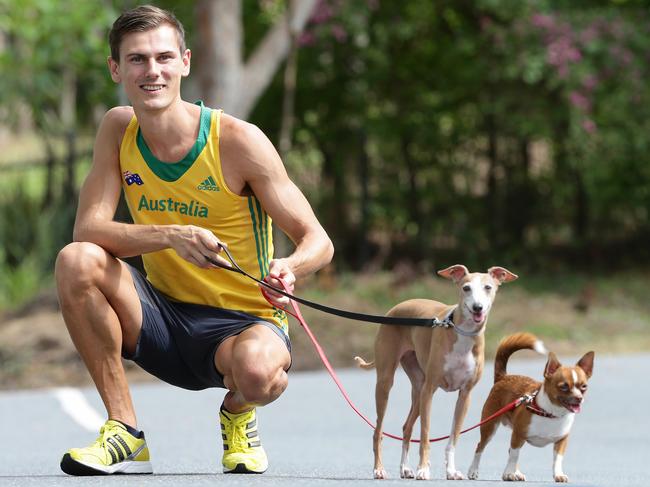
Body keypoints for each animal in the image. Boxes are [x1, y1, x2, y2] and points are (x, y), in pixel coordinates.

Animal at [354, 264, 516, 482]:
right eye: (466, 288)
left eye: (488, 287)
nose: (478, 307)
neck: (462, 334)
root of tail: (394, 309)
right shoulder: (430, 389)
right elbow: (425, 435)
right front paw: (424, 469)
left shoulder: (464, 395)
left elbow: (453, 438)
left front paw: (451, 471)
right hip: (387, 383)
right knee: (378, 431)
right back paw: (379, 469)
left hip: (418, 389)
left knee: (407, 427)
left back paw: (405, 468)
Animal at [466, 334, 592, 482]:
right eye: (564, 387)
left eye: (584, 387)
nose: (579, 398)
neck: (550, 413)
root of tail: (503, 377)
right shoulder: (518, 435)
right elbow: (514, 456)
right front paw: (509, 473)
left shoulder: (561, 441)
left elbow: (557, 460)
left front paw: (558, 474)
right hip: (490, 426)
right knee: (481, 447)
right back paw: (473, 471)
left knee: (509, 451)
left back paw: (517, 473)